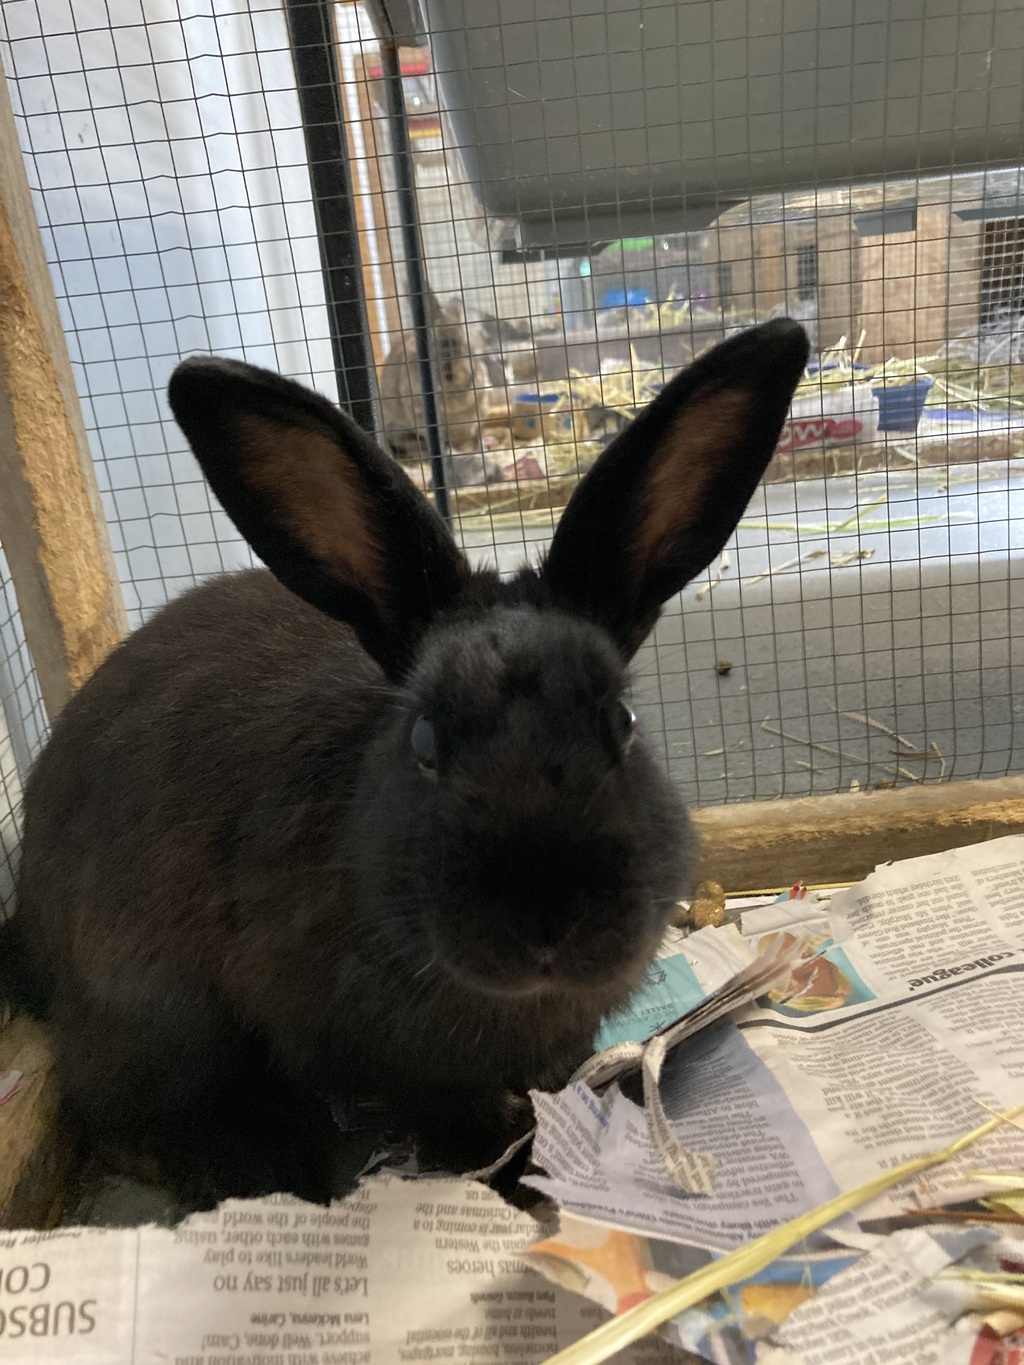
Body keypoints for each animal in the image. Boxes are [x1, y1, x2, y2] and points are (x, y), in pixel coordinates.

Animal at [5, 319, 809, 1208]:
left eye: (622, 724)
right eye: (425, 741)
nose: (546, 918)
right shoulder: (385, 1054)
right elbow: (452, 1111)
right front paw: (515, 1174)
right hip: (151, 1007)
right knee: (117, 1104)